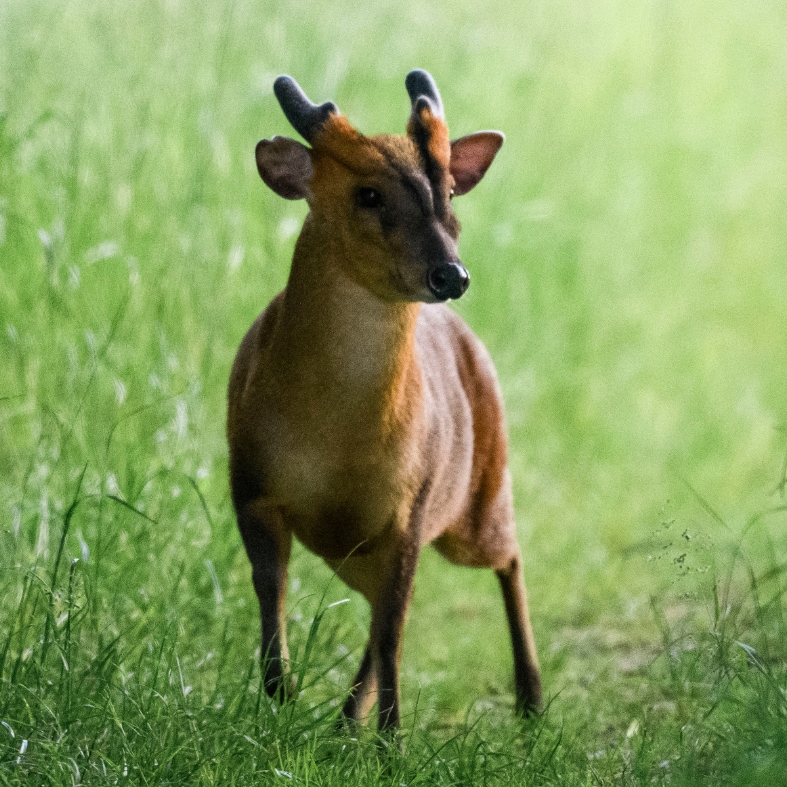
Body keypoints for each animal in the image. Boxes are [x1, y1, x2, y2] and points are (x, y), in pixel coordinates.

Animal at [228, 69, 540, 732]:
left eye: (449, 192)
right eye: (367, 195)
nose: (451, 275)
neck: (332, 441)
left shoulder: (411, 509)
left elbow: (394, 635)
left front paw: (392, 740)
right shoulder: (250, 482)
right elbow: (273, 594)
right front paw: (279, 696)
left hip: (480, 492)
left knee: (508, 556)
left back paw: (530, 698)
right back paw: (345, 722)